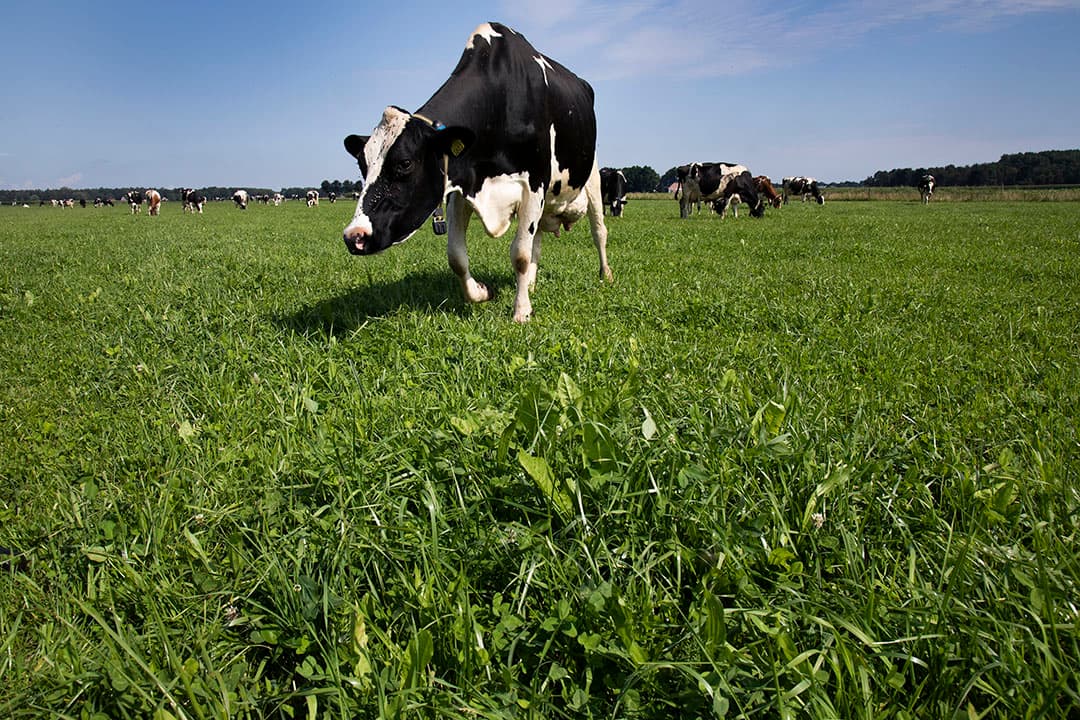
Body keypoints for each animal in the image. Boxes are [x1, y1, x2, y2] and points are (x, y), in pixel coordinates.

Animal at [342, 22, 612, 323]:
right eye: (362, 165)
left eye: (405, 163)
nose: (354, 236)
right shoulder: (460, 186)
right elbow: (456, 256)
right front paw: (483, 292)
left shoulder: (534, 184)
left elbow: (520, 253)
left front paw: (521, 312)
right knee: (538, 239)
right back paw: (531, 283)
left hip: (593, 176)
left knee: (598, 231)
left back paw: (605, 275)